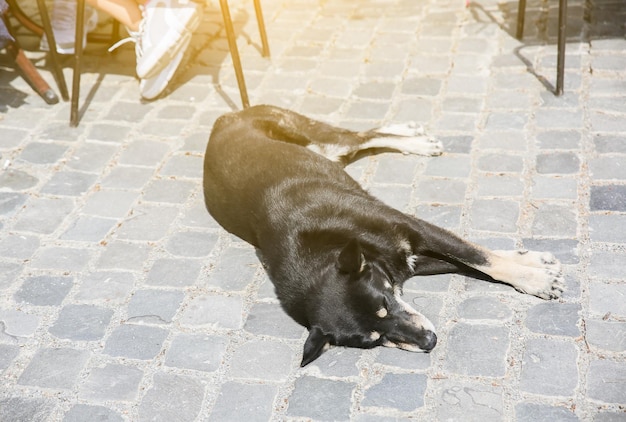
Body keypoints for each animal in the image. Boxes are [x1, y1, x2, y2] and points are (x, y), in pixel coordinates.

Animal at [202, 105, 564, 366]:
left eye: (385, 304)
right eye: (375, 339)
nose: (430, 342)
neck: (335, 246)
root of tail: (222, 118)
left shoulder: (414, 228)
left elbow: (479, 258)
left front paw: (535, 278)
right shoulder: (408, 261)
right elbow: (472, 266)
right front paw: (534, 268)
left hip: (313, 134)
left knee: (359, 135)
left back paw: (414, 139)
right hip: (328, 153)